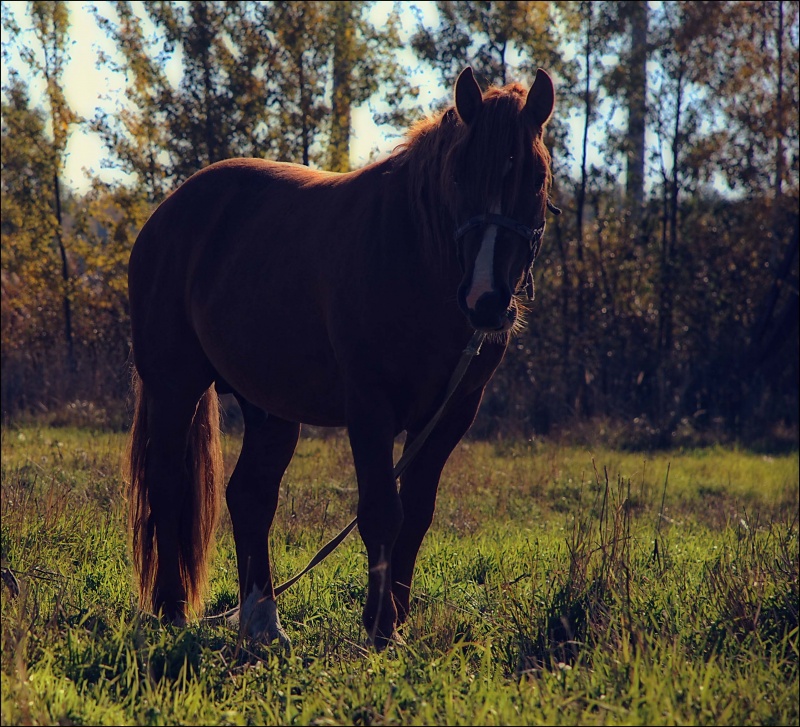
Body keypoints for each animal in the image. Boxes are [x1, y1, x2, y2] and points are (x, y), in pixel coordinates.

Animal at [126, 66, 557, 650]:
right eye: (460, 176)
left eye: (536, 178)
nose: (485, 301)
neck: (416, 257)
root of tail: (168, 211)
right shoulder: (369, 407)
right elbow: (381, 511)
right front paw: (379, 627)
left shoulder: (449, 415)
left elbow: (416, 514)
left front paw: (396, 619)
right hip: (175, 388)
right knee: (170, 487)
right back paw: (173, 611)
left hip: (270, 408)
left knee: (250, 497)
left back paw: (262, 623)